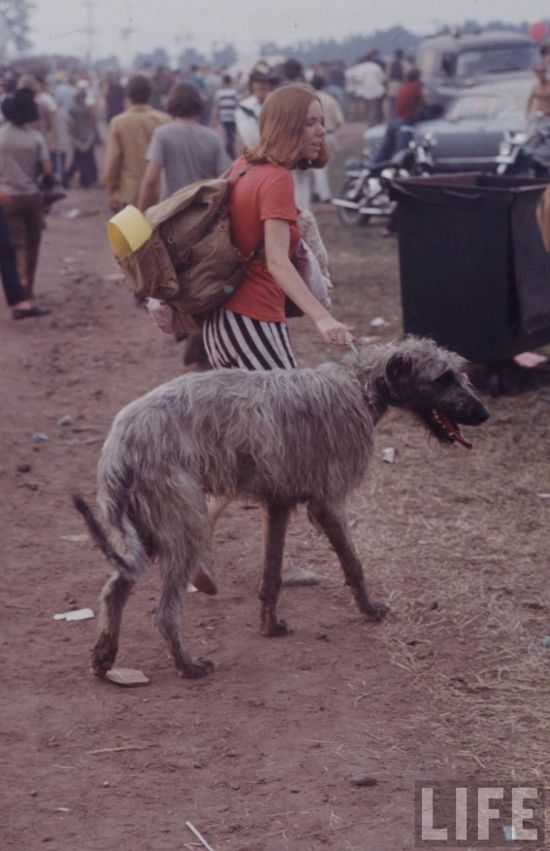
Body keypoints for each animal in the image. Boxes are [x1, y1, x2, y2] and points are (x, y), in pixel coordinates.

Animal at [74, 336, 492, 684]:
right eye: (443, 377)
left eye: (461, 372)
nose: (484, 414)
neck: (358, 386)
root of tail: (118, 444)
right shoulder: (327, 503)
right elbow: (353, 563)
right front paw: (370, 609)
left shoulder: (278, 504)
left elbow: (271, 575)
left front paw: (269, 625)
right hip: (182, 522)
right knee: (164, 610)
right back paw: (188, 665)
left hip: (146, 530)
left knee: (114, 591)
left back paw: (105, 657)